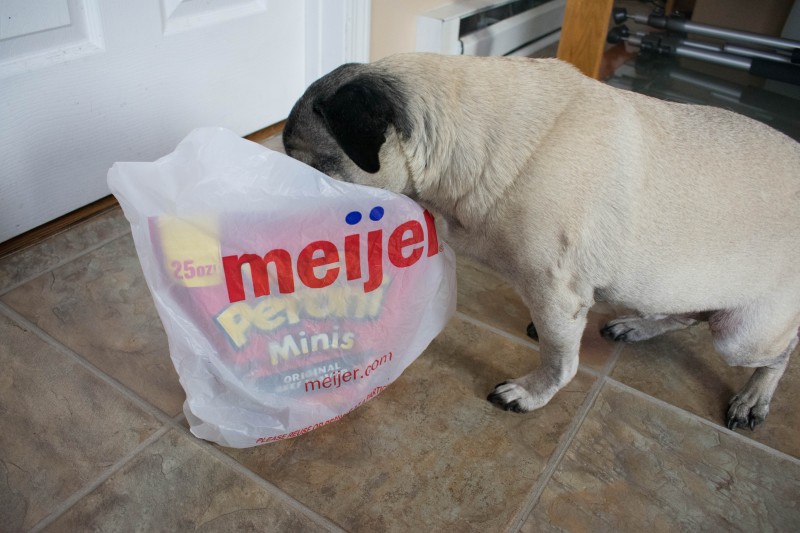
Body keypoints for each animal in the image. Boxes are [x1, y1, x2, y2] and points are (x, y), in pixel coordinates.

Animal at [282, 52, 800, 430]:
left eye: (319, 170)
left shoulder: (554, 291)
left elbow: (558, 358)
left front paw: (532, 393)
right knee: (687, 313)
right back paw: (638, 325)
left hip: (742, 335)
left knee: (778, 352)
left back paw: (755, 397)